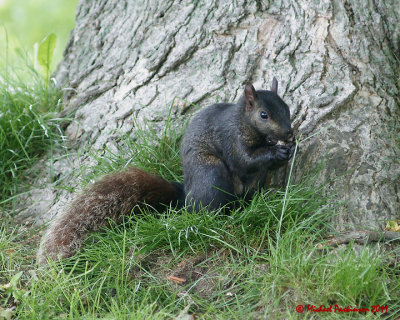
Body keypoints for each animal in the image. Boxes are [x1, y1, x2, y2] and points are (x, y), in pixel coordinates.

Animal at [36, 79, 294, 264]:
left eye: (287, 108)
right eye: (264, 115)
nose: (289, 133)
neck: (246, 124)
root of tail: (186, 198)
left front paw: (286, 148)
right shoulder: (231, 138)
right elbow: (245, 160)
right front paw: (277, 151)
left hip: (252, 183)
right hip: (211, 172)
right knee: (207, 210)